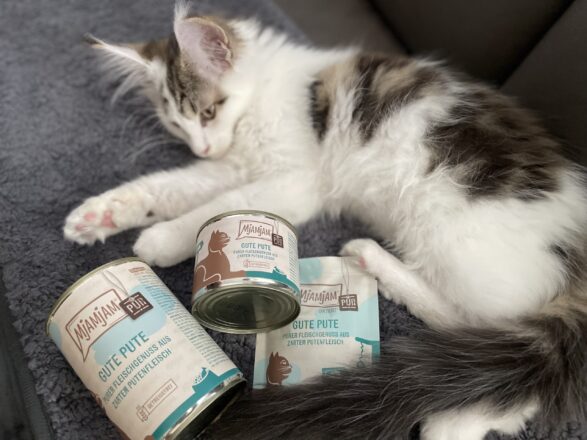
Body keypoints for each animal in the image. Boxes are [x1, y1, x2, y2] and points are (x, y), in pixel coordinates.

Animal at [63, 4, 587, 440]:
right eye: (177, 124)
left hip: (454, 233)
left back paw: (447, 421)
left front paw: (166, 238)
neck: (264, 96)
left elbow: (217, 207)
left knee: (496, 344)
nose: (202, 146)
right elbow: (169, 186)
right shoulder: (234, 164)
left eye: (209, 111)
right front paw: (101, 215)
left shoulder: (293, 180)